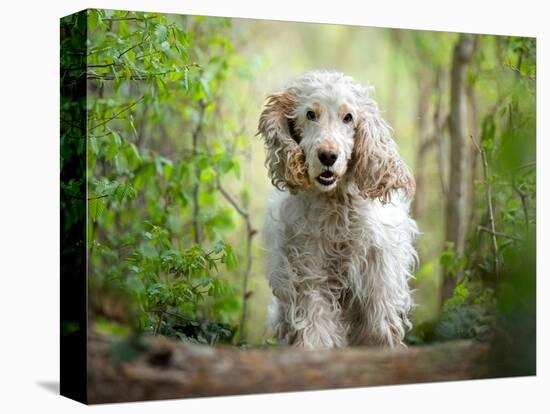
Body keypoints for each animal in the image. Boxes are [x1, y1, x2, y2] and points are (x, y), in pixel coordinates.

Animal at [258, 69, 418, 348]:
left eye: (348, 117)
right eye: (310, 114)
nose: (328, 156)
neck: (336, 204)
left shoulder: (377, 278)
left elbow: (379, 328)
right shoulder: (308, 273)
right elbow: (316, 328)